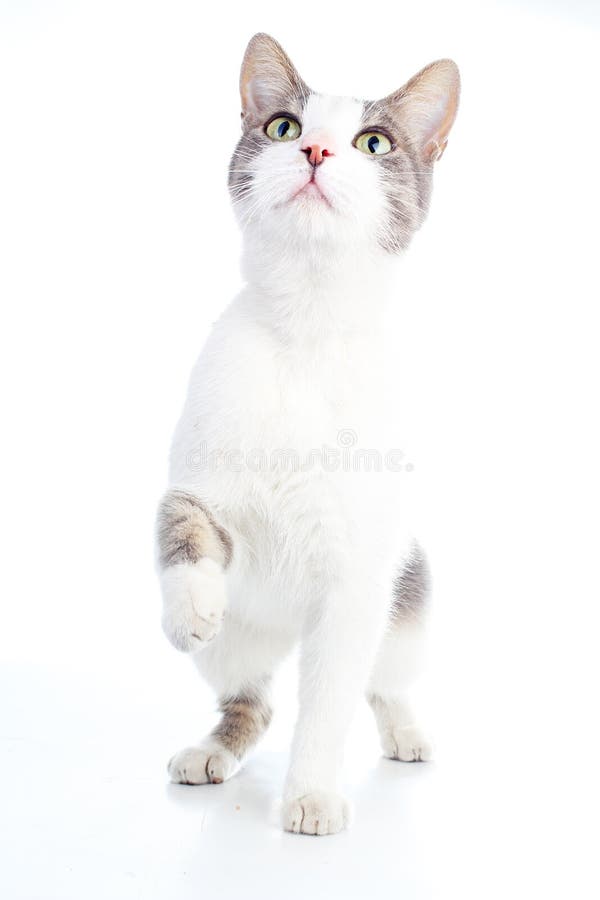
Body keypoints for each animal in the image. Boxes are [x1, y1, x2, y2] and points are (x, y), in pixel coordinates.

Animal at [156, 33, 460, 836]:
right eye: (284, 126)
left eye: (373, 142)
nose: (317, 149)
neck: (308, 325)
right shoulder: (203, 472)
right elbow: (181, 520)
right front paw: (188, 603)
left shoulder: (357, 581)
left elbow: (328, 705)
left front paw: (313, 794)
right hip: (239, 643)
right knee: (252, 699)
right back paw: (213, 750)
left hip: (406, 600)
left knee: (382, 682)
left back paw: (407, 732)